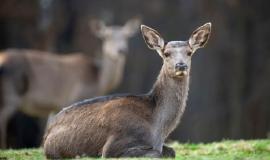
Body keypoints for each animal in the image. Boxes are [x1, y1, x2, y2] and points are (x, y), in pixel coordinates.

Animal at [0, 17, 142, 149]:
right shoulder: (74, 97)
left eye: (126, 36)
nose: (121, 50)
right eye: (106, 36)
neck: (98, 81)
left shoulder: (56, 105)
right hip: (10, 94)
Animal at [43, 22, 212, 159]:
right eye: (166, 53)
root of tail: (47, 134)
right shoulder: (113, 145)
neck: (158, 129)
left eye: (189, 52)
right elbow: (156, 153)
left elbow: (171, 151)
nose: (181, 65)